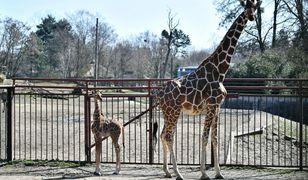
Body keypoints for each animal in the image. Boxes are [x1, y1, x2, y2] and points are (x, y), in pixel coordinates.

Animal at [154, 0, 262, 179]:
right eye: (246, 5)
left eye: (255, 7)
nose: (252, 17)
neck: (220, 71)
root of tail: (159, 93)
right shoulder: (211, 106)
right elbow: (204, 137)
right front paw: (204, 173)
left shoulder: (217, 107)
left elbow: (215, 138)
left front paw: (218, 173)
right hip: (174, 111)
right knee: (169, 136)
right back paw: (178, 173)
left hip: (167, 112)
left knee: (163, 134)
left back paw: (167, 171)